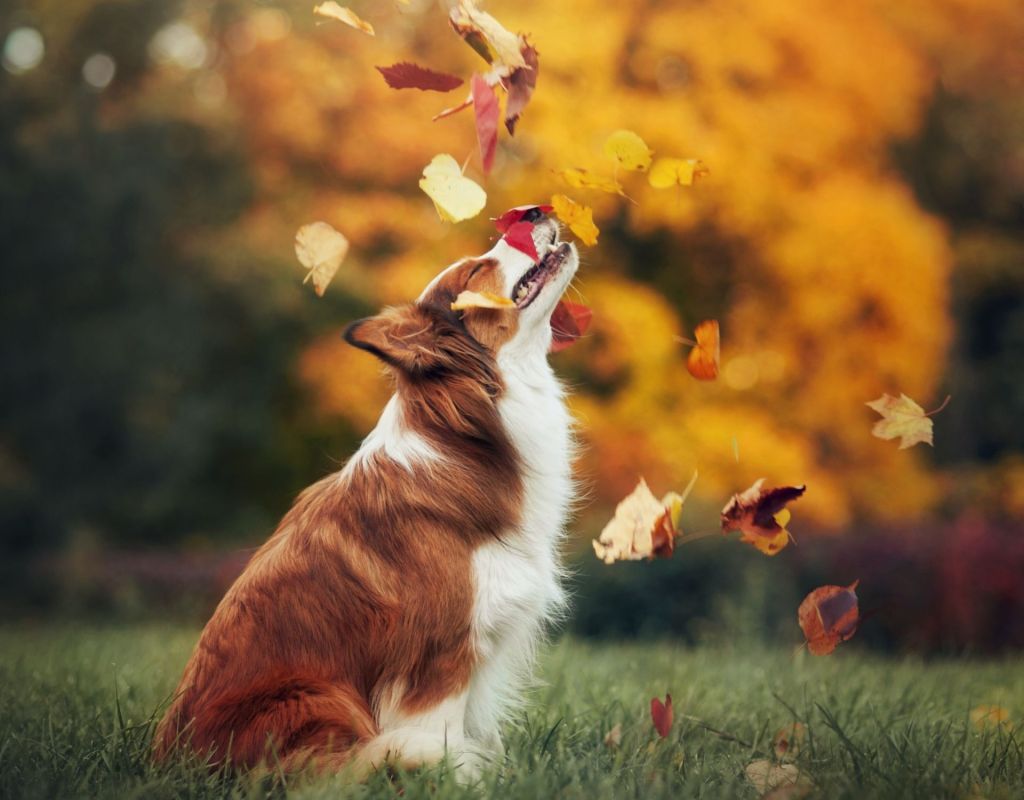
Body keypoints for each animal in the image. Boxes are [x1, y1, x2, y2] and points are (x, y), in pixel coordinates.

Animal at [154, 207, 581, 778]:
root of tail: (169, 758)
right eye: (474, 272)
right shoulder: (440, 650)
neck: (473, 436)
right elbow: (440, 732)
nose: (535, 210)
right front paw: (458, 778)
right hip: (316, 695)